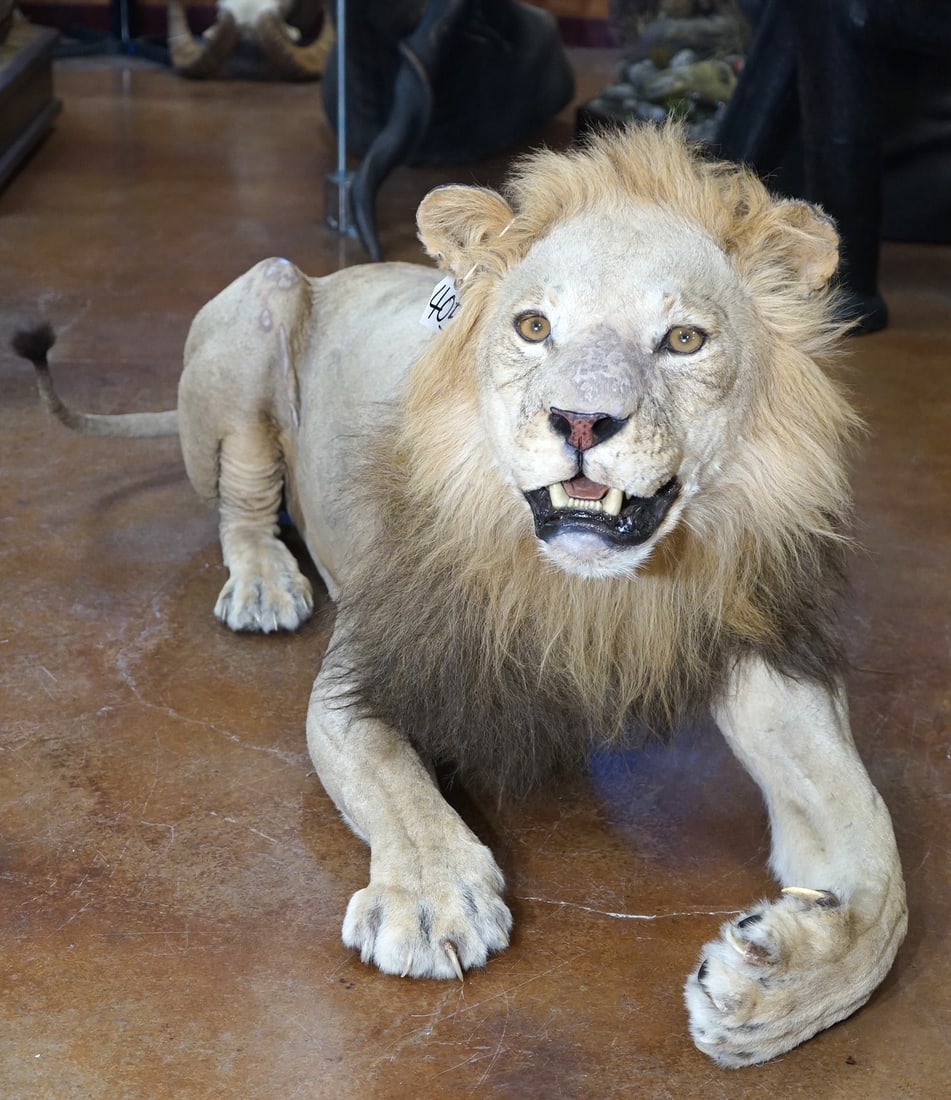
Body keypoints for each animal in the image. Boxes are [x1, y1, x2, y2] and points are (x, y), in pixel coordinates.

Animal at [16, 125, 906, 1067]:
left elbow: (878, 860)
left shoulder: (768, 655)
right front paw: (431, 897)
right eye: (533, 327)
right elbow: (396, 785)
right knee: (241, 501)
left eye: (684, 340)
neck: (587, 591)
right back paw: (264, 582)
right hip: (263, 299)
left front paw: (777, 988)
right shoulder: (364, 667)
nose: (580, 422)